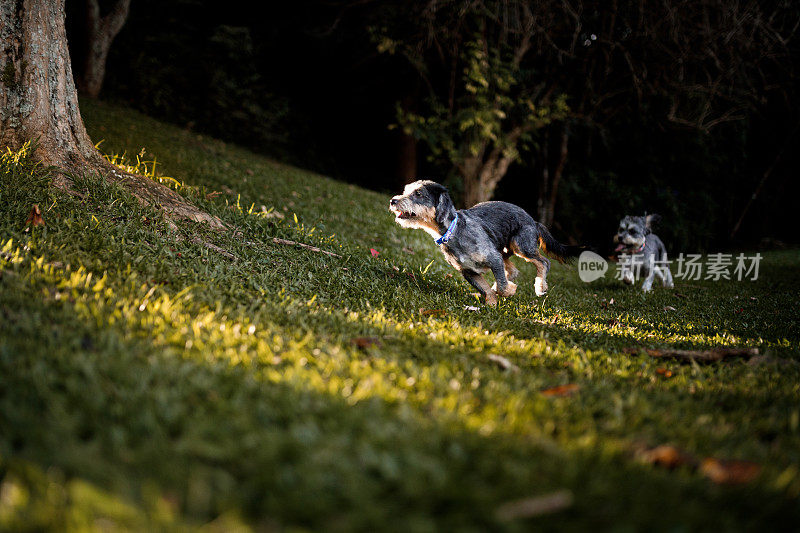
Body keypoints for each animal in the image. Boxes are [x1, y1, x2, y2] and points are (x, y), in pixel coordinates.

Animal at [388, 182, 580, 308]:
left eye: (418, 194)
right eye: (405, 190)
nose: (393, 200)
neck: (453, 231)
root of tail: (534, 221)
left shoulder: (493, 258)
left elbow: (502, 287)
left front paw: (509, 291)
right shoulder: (468, 271)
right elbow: (486, 288)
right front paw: (491, 304)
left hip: (520, 246)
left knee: (543, 262)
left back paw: (540, 287)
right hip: (504, 250)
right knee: (513, 270)